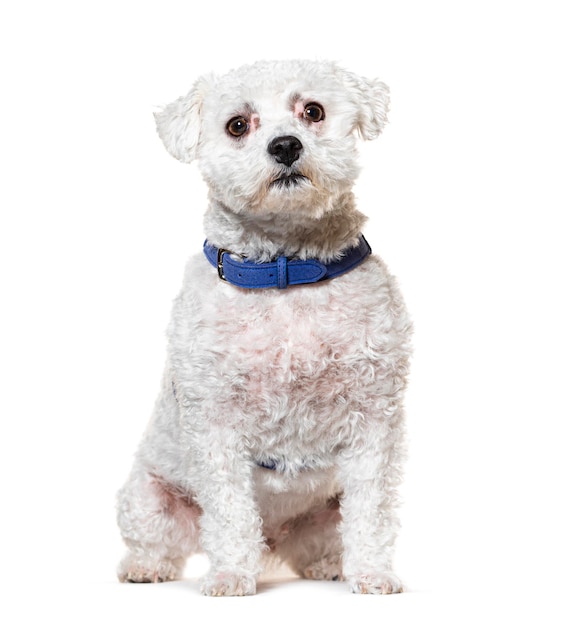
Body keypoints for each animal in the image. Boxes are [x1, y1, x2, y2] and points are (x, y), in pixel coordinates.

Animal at [115, 58, 412, 596]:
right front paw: (231, 574)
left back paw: (329, 564)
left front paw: (373, 574)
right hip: (147, 500)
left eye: (312, 111)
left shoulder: (374, 420)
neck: (285, 274)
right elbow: (230, 511)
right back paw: (146, 567)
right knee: (158, 543)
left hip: (322, 513)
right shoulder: (215, 426)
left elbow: (373, 510)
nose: (286, 145)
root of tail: (272, 540)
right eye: (238, 124)